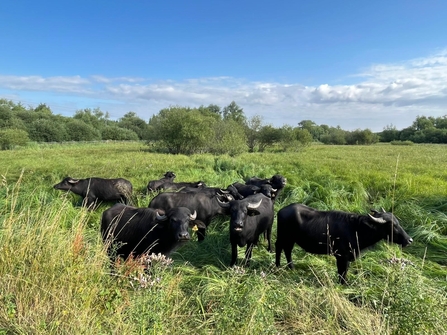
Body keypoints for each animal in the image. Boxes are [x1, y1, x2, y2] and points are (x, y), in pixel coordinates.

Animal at [274, 203, 414, 284]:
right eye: (392, 226)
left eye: (398, 223)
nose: (409, 240)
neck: (357, 229)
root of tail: (281, 211)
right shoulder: (342, 257)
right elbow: (342, 272)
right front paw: (344, 284)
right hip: (283, 237)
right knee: (279, 247)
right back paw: (277, 266)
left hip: (291, 239)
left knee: (287, 250)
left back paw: (291, 267)